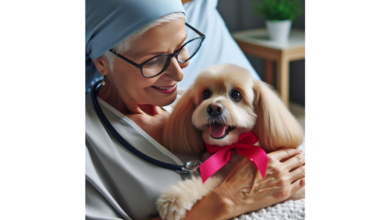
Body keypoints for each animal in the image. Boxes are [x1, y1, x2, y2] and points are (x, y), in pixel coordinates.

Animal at [157, 64, 304, 220]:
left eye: (236, 95)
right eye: (205, 94)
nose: (214, 108)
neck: (231, 148)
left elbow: (208, 181)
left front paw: (173, 200)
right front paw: (174, 199)